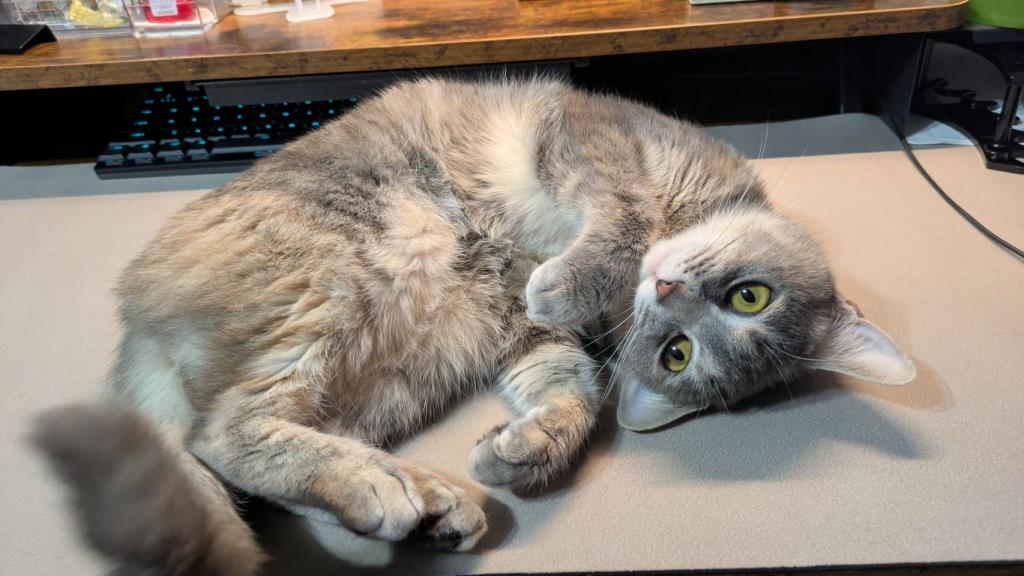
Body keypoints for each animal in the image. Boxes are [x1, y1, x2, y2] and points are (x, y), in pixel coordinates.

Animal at [31, 76, 915, 576]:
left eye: (677, 355)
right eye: (750, 297)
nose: (668, 286)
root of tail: (137, 330)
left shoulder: (528, 335)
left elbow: (573, 395)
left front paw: (527, 448)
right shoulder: (595, 140)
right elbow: (622, 209)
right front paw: (586, 271)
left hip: (391, 376)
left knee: (238, 449)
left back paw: (421, 503)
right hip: (340, 282)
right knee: (218, 433)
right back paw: (393, 490)